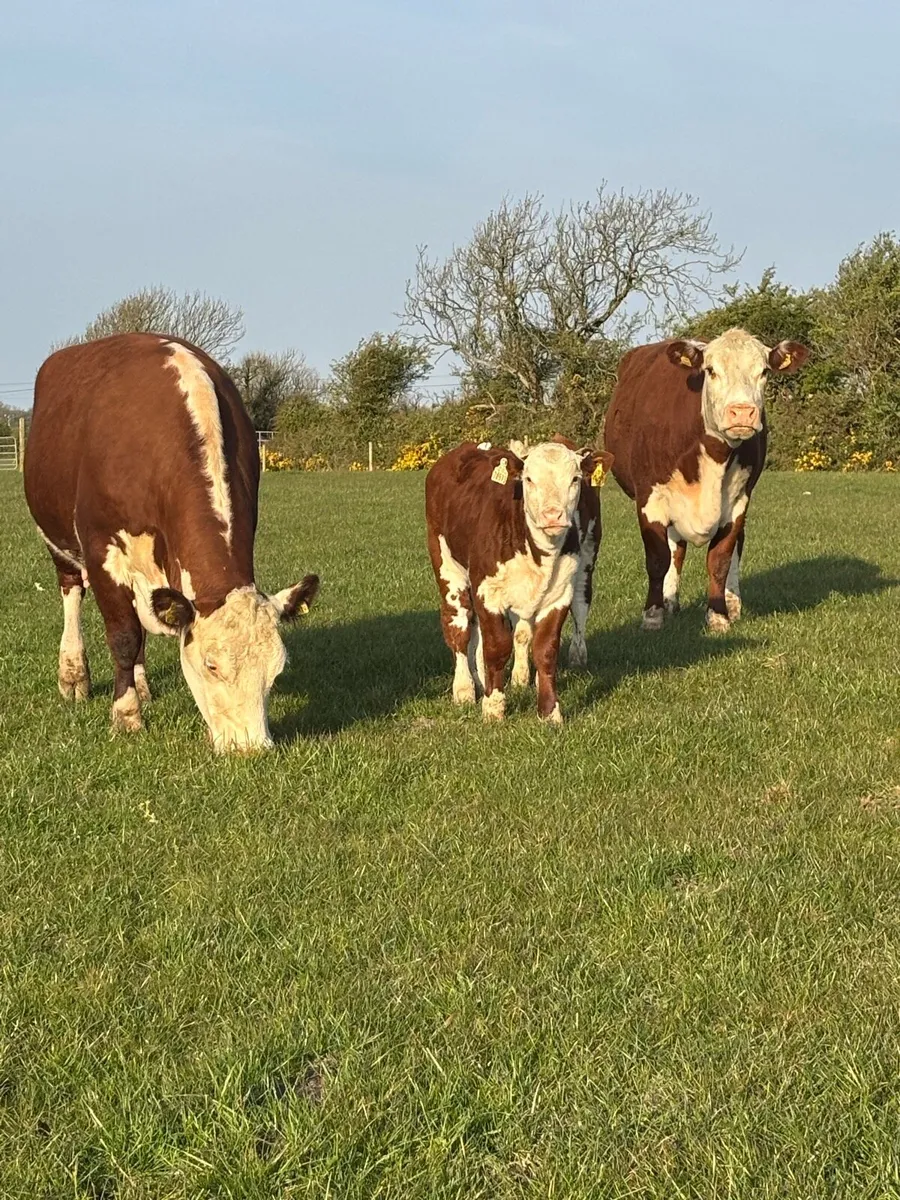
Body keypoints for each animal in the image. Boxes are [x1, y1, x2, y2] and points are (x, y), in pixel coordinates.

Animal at [24, 333, 319, 751]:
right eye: (211, 665)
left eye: (276, 670)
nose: (250, 749)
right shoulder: (101, 550)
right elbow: (124, 636)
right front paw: (126, 717)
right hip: (56, 538)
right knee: (71, 593)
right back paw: (74, 674)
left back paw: (142, 683)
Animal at [425, 438, 611, 725]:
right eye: (529, 479)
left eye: (575, 479)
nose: (552, 515)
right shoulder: (487, 591)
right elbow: (496, 647)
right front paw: (493, 707)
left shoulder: (559, 595)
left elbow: (545, 649)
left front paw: (549, 711)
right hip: (446, 563)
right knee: (459, 626)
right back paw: (464, 688)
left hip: (587, 559)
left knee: (578, 608)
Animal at [603, 327, 809, 632]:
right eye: (710, 371)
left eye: (764, 371)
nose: (742, 411)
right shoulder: (650, 498)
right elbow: (658, 559)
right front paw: (653, 615)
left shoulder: (738, 502)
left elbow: (720, 559)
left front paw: (719, 615)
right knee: (675, 549)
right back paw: (669, 601)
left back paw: (732, 603)